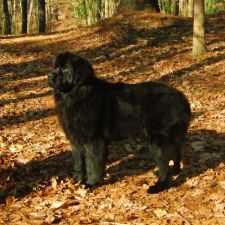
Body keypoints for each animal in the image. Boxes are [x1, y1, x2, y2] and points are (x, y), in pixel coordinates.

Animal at [48, 51, 192, 193]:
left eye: (65, 69)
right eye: (54, 67)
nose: (49, 75)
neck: (75, 95)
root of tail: (180, 96)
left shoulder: (93, 140)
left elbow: (93, 163)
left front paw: (91, 183)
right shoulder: (75, 139)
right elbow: (78, 162)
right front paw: (78, 181)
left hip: (158, 139)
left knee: (164, 163)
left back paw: (159, 186)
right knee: (176, 154)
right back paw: (175, 172)